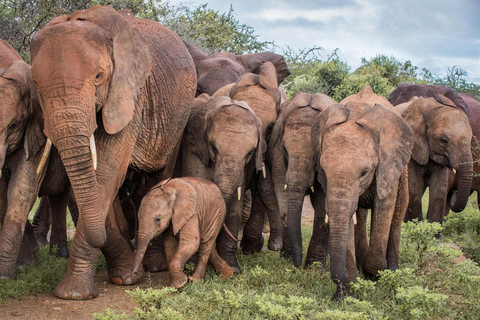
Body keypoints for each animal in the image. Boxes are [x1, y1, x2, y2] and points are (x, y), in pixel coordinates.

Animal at [30, 5, 196, 300]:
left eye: (98, 77)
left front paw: (75, 294)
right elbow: (98, 182)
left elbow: (105, 173)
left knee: (158, 175)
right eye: (35, 84)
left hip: (177, 121)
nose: (133, 271)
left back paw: (154, 265)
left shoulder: (129, 97)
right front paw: (125, 275)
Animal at [270, 91, 334, 266]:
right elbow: (281, 192)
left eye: (317, 154)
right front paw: (287, 259)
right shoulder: (277, 151)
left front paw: (314, 267)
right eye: (286, 150)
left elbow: (323, 205)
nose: (296, 264)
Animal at [312, 101, 412, 298]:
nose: (340, 276)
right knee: (361, 216)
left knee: (396, 217)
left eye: (364, 172)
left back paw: (392, 273)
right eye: (324, 172)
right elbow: (348, 221)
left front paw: (374, 275)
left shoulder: (387, 168)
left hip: (403, 174)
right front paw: (345, 296)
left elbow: (383, 210)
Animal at [390, 84, 472, 221]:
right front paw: (417, 224)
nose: (455, 193)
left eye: (471, 139)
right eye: (444, 141)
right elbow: (414, 187)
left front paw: (434, 227)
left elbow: (440, 189)